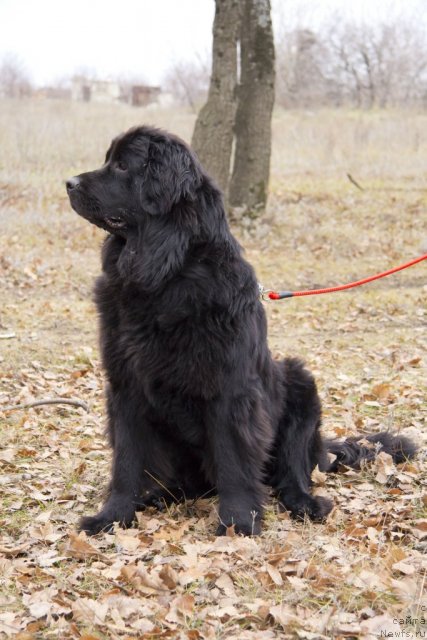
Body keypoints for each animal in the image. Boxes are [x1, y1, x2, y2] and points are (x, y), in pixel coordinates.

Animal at [67, 125, 418, 536]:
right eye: (109, 160)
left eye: (123, 165)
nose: (69, 183)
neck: (167, 273)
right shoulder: (126, 384)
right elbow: (126, 459)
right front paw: (113, 516)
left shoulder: (231, 389)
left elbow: (234, 459)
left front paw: (237, 523)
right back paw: (160, 496)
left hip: (299, 384)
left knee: (292, 473)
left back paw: (304, 503)